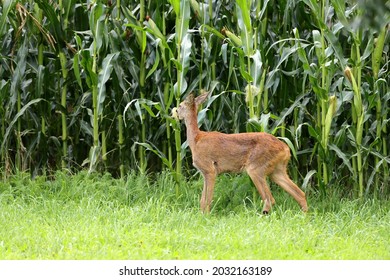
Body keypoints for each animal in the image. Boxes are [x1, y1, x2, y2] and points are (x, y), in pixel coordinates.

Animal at [173, 90, 308, 214]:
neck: (196, 139)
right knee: (300, 193)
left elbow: (207, 199)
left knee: (270, 199)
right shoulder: (204, 172)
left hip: (256, 168)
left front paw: (206, 216)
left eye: (180, 105)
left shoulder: (210, 169)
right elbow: (202, 200)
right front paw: (202, 215)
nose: (174, 113)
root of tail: (286, 149)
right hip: (277, 170)